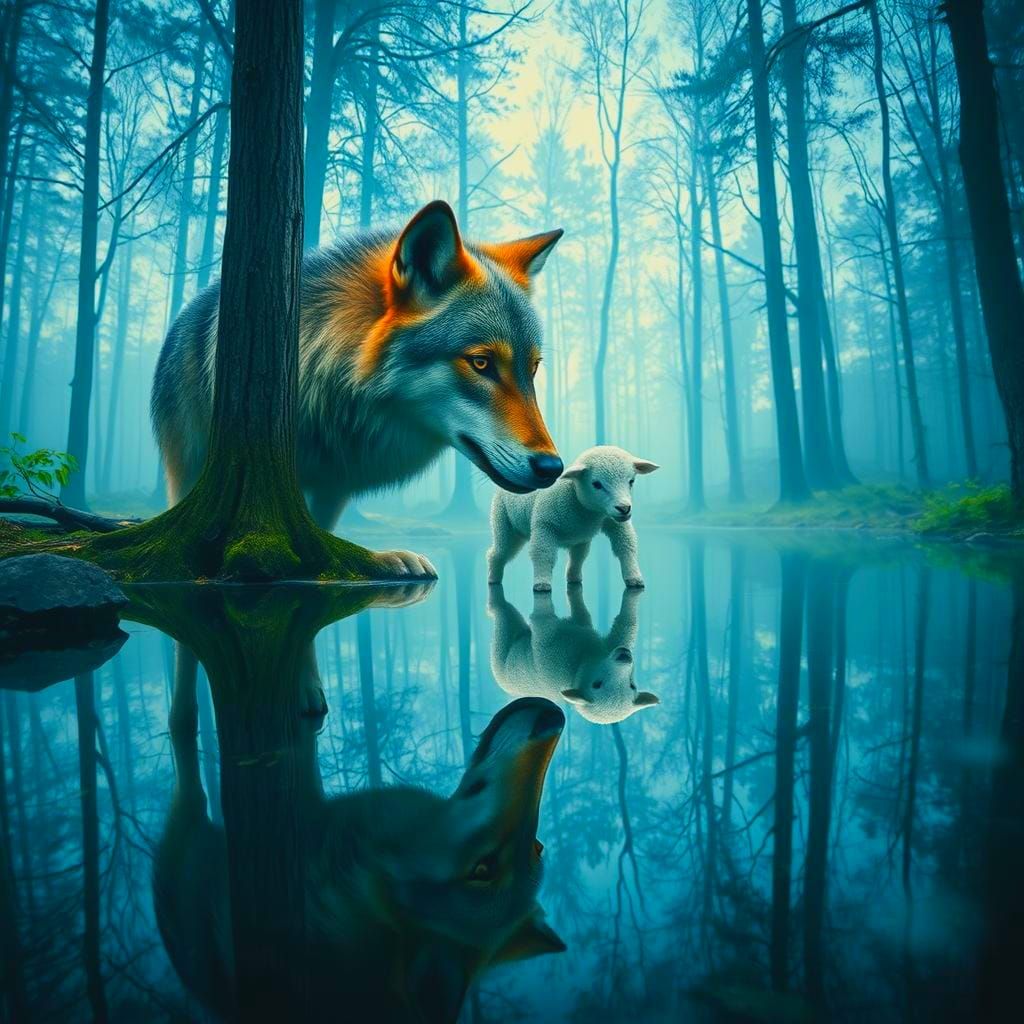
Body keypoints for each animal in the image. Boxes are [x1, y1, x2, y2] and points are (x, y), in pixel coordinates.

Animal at [487, 445, 659, 592]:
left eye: (631, 481)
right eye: (596, 484)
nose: (624, 508)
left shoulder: (613, 521)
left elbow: (626, 546)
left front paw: (634, 578)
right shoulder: (544, 525)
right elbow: (542, 554)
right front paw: (541, 584)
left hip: (579, 537)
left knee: (578, 556)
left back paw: (574, 578)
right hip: (503, 519)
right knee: (500, 551)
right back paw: (493, 579)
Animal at [488, 585, 660, 724]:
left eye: (631, 685)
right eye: (597, 684)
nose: (624, 656)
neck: (579, 667)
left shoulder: (556, 662)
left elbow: (543, 630)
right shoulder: (598, 646)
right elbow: (623, 625)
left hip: (503, 662)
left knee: (504, 616)